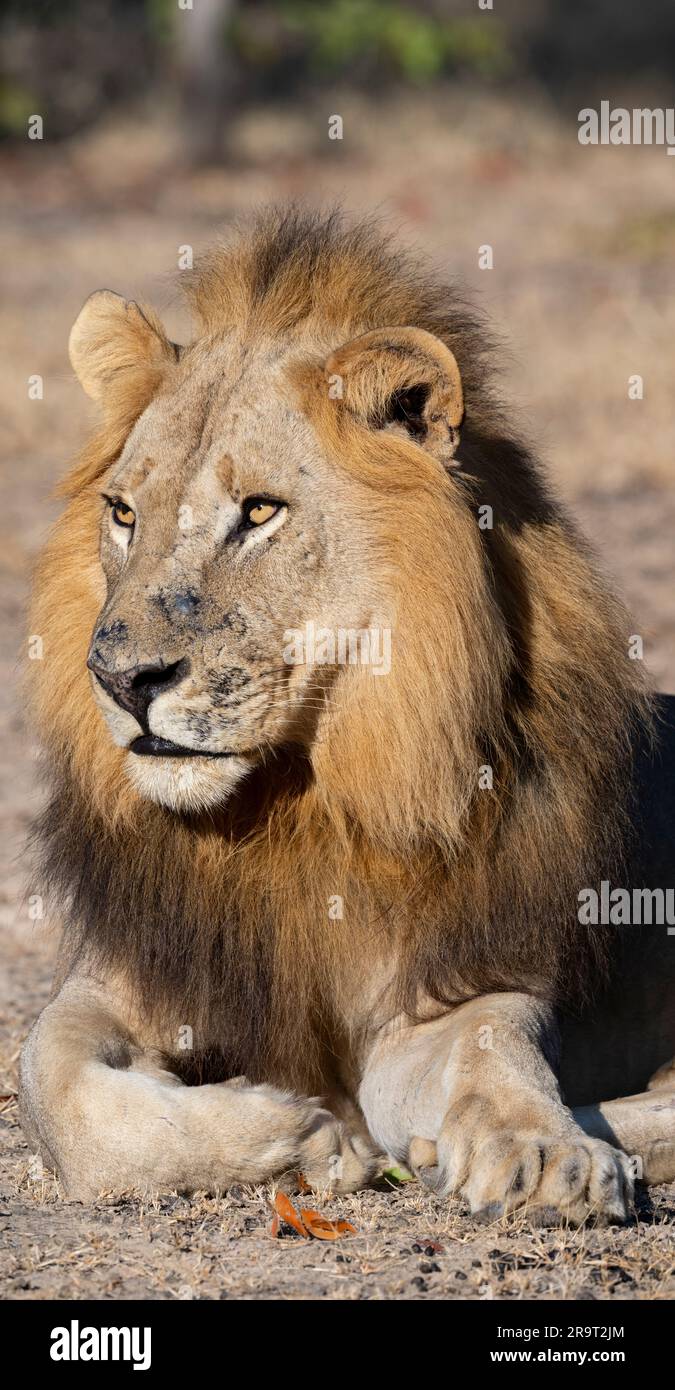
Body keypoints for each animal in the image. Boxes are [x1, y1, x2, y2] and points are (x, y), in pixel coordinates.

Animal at [19, 206, 675, 1222]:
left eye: (260, 512)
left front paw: (542, 1154)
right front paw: (297, 1140)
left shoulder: (445, 987)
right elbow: (53, 1084)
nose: (121, 679)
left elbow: (492, 1043)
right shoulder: (121, 975)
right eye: (124, 513)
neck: (292, 802)